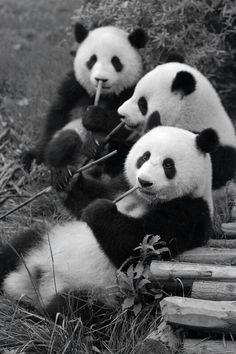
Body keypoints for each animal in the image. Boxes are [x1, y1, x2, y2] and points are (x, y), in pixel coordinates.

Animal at [22, 22, 148, 176]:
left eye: (115, 61)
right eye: (92, 59)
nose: (101, 79)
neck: (102, 94)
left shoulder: (131, 90)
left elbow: (126, 125)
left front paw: (94, 118)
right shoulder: (75, 86)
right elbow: (57, 114)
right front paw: (35, 156)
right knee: (66, 139)